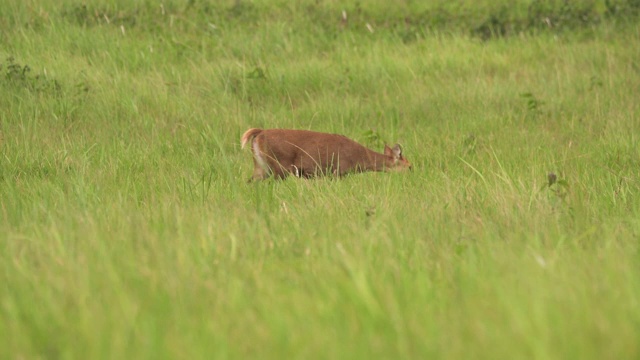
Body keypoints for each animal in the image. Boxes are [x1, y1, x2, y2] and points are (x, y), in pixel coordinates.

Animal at [239, 129, 410, 180]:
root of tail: (260, 133)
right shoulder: (337, 171)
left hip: (261, 166)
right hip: (280, 166)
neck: (358, 158)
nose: (413, 172)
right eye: (409, 166)